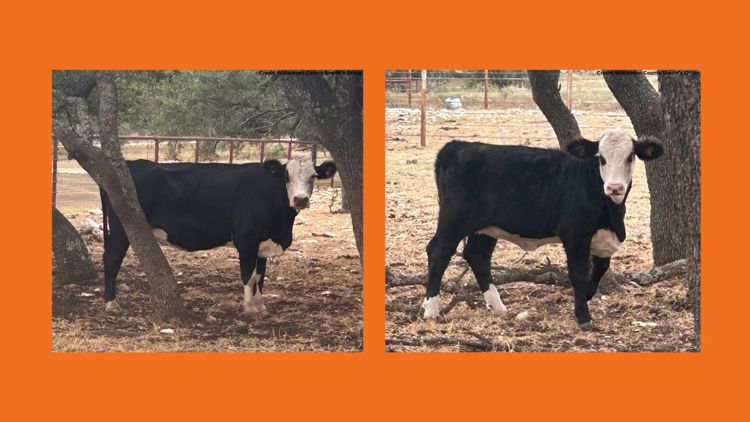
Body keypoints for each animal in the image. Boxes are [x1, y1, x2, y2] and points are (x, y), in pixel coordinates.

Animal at [100, 154, 337, 316]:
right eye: (286, 176)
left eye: (314, 176)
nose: (300, 199)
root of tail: (131, 164)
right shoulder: (247, 241)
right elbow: (248, 276)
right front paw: (249, 309)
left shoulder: (262, 244)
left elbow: (260, 277)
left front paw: (261, 307)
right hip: (121, 230)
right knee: (111, 260)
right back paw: (111, 303)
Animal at [423, 128, 663, 326]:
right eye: (601, 158)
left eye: (630, 156)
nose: (614, 188)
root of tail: (456, 146)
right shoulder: (574, 233)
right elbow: (578, 273)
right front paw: (583, 315)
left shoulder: (604, 237)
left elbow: (600, 269)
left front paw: (586, 296)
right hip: (454, 220)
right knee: (439, 253)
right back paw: (431, 308)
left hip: (485, 228)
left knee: (477, 256)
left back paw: (497, 307)